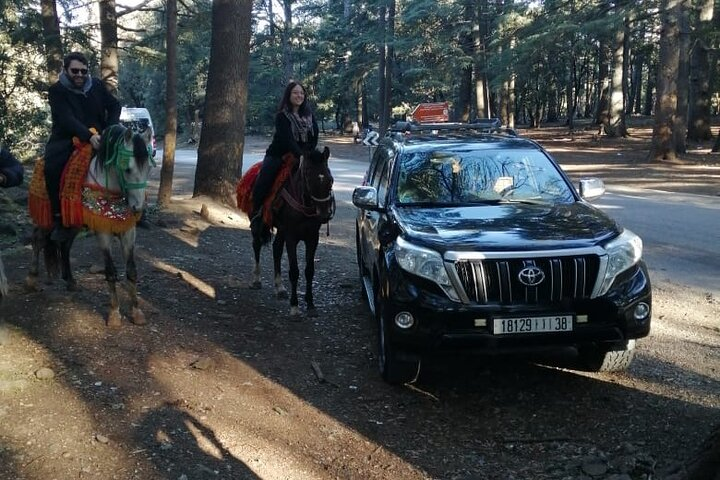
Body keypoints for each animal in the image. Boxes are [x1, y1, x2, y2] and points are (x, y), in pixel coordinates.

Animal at [239, 148, 334, 316]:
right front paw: (294, 306)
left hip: (281, 230)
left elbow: (309, 270)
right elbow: (294, 271)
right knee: (256, 245)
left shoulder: (312, 238)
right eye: (308, 177)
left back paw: (280, 288)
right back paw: (256, 280)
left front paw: (311, 305)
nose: (324, 214)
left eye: (330, 179)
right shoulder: (291, 237)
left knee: (276, 249)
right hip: (258, 223)